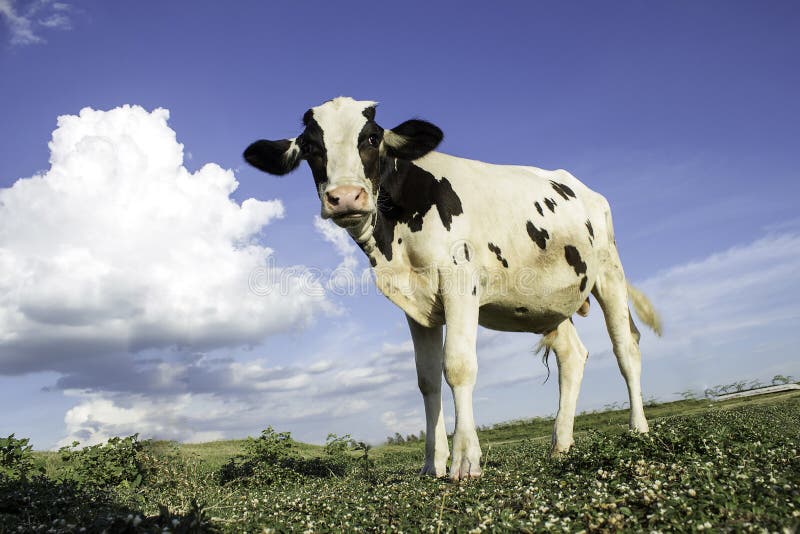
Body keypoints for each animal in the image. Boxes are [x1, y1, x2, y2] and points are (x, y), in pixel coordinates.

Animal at [244, 98, 664, 484]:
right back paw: (560, 445)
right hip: (547, 302)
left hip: (609, 272)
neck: (393, 242)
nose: (345, 197)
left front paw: (465, 461)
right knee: (572, 357)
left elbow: (458, 367)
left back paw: (638, 429)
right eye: (310, 146)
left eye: (372, 138)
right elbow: (427, 380)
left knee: (625, 347)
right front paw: (433, 463)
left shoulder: (460, 281)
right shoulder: (415, 304)